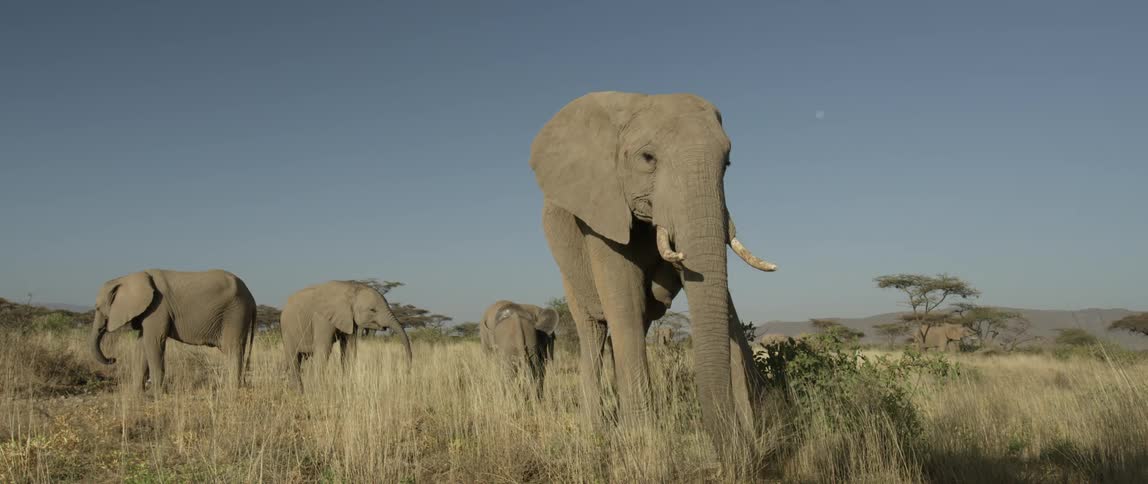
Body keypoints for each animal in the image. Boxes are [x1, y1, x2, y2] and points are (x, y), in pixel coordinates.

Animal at [90, 269, 257, 393]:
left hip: (235, 312)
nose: (113, 359)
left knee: (232, 349)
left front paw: (154, 394)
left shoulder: (158, 308)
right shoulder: (149, 310)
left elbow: (154, 342)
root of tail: (251, 297)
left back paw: (231, 390)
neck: (126, 278)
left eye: (97, 308)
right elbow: (142, 345)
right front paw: (136, 393)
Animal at [280, 280, 412, 390]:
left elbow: (349, 349)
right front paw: (317, 391)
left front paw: (347, 386)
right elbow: (324, 349)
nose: (407, 372)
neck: (351, 288)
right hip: (287, 331)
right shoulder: (321, 318)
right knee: (293, 359)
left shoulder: (350, 319)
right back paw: (298, 391)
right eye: (372, 310)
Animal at [528, 91, 778, 453]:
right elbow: (624, 301)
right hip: (568, 273)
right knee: (593, 331)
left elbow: (719, 302)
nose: (744, 443)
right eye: (648, 158)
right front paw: (640, 437)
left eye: (727, 164)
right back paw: (596, 430)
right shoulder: (602, 210)